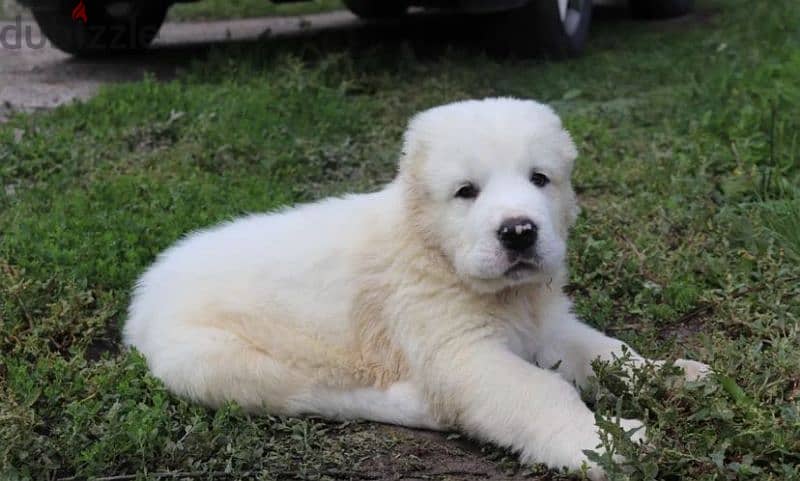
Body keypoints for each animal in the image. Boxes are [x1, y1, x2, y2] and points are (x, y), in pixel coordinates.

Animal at [125, 96, 708, 476]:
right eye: (466, 192)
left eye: (540, 179)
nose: (519, 232)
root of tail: (144, 295)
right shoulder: (460, 353)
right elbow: (540, 391)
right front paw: (601, 442)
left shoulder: (549, 325)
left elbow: (611, 351)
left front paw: (677, 373)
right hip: (218, 361)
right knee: (319, 395)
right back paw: (417, 404)